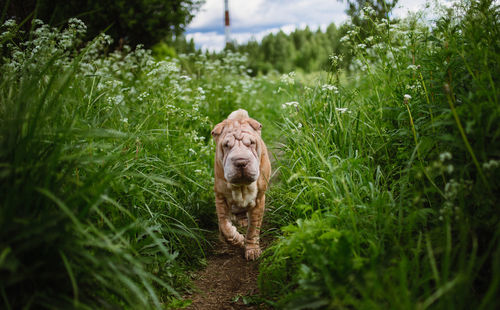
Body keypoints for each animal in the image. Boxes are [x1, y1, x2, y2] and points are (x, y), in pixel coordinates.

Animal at [212, 109, 274, 260]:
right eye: (226, 145)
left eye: (251, 143)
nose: (241, 162)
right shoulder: (220, 197)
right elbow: (224, 227)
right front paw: (238, 239)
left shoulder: (259, 200)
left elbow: (253, 228)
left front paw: (252, 250)